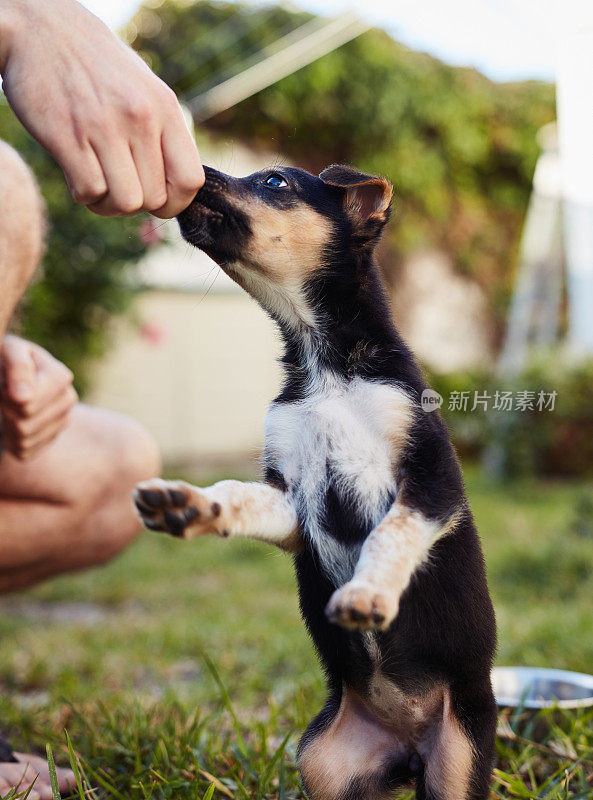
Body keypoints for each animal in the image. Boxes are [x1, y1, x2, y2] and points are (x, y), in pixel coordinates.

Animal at [133, 164, 494, 800]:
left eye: (275, 182)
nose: (200, 171)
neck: (325, 364)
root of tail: (409, 749)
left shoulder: (433, 481)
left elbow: (390, 535)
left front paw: (366, 596)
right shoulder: (291, 499)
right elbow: (237, 494)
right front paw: (191, 505)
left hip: (459, 758)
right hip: (323, 762)